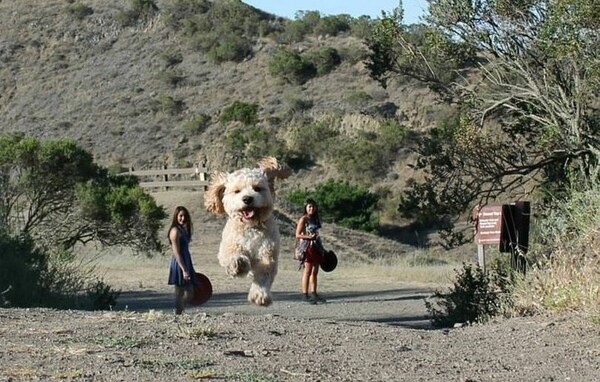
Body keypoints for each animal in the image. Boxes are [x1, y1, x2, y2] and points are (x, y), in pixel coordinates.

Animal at [204, 157, 292, 306]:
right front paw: (238, 264)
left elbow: (264, 274)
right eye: (237, 191)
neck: (250, 227)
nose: (247, 198)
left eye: (257, 188)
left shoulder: (267, 252)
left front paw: (260, 295)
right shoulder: (228, 246)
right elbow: (233, 255)